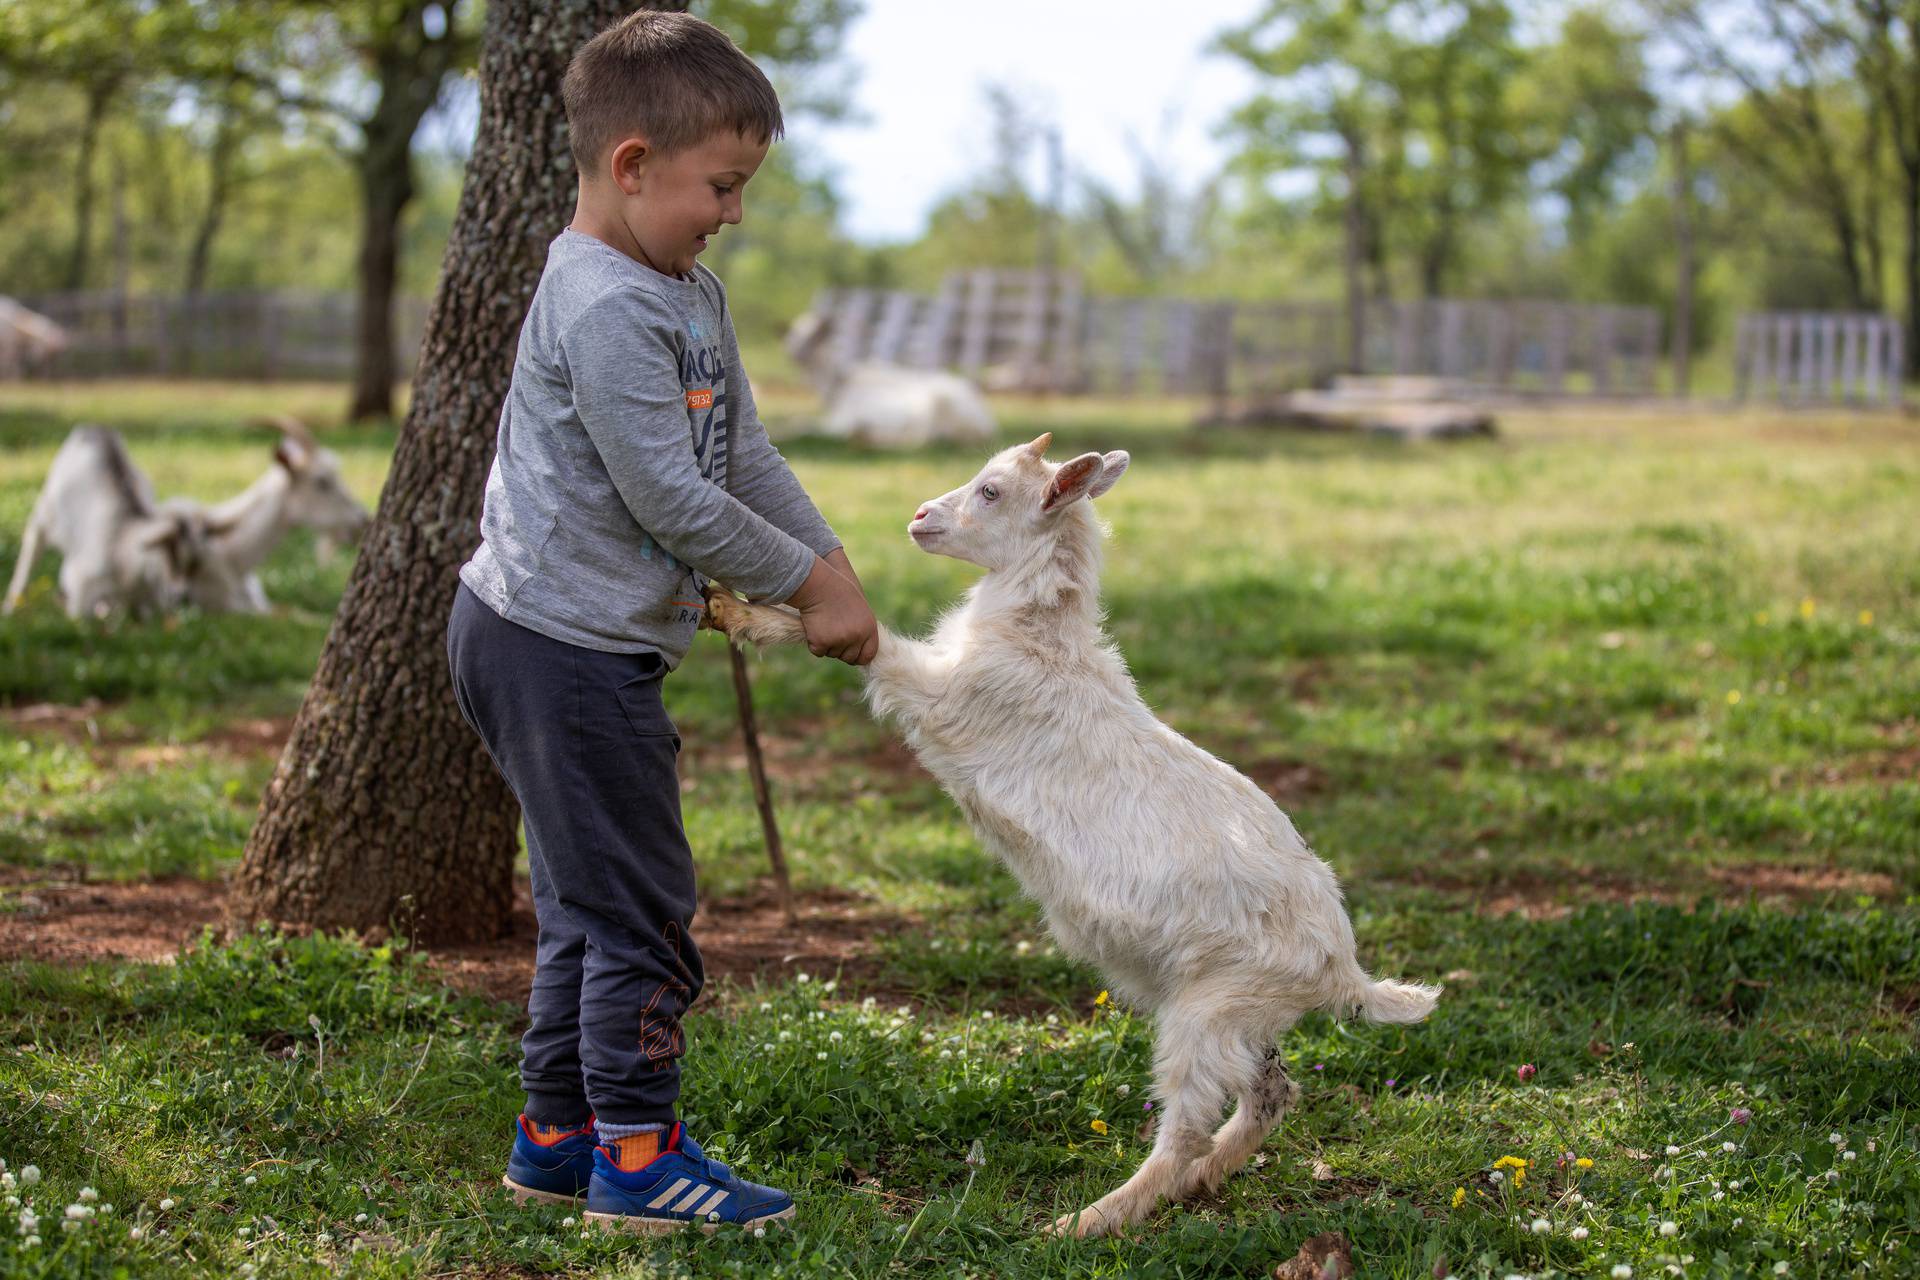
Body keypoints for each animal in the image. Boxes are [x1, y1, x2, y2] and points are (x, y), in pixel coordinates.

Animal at [3, 426, 214, 621]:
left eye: (196, 564)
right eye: (173, 557)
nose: (185, 597)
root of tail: (96, 428)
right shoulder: (80, 580)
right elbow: (78, 615)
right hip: (46, 512)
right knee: (32, 546)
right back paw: (11, 604)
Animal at [710, 433, 1443, 1243]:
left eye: (992, 491)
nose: (920, 517)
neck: (1039, 644)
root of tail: (1343, 970)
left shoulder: (945, 697)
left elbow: (870, 649)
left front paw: (743, 613)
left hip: (1209, 1013)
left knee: (1189, 1123)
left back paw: (1091, 1220)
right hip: (1241, 1014)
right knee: (1271, 1095)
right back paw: (1199, 1182)